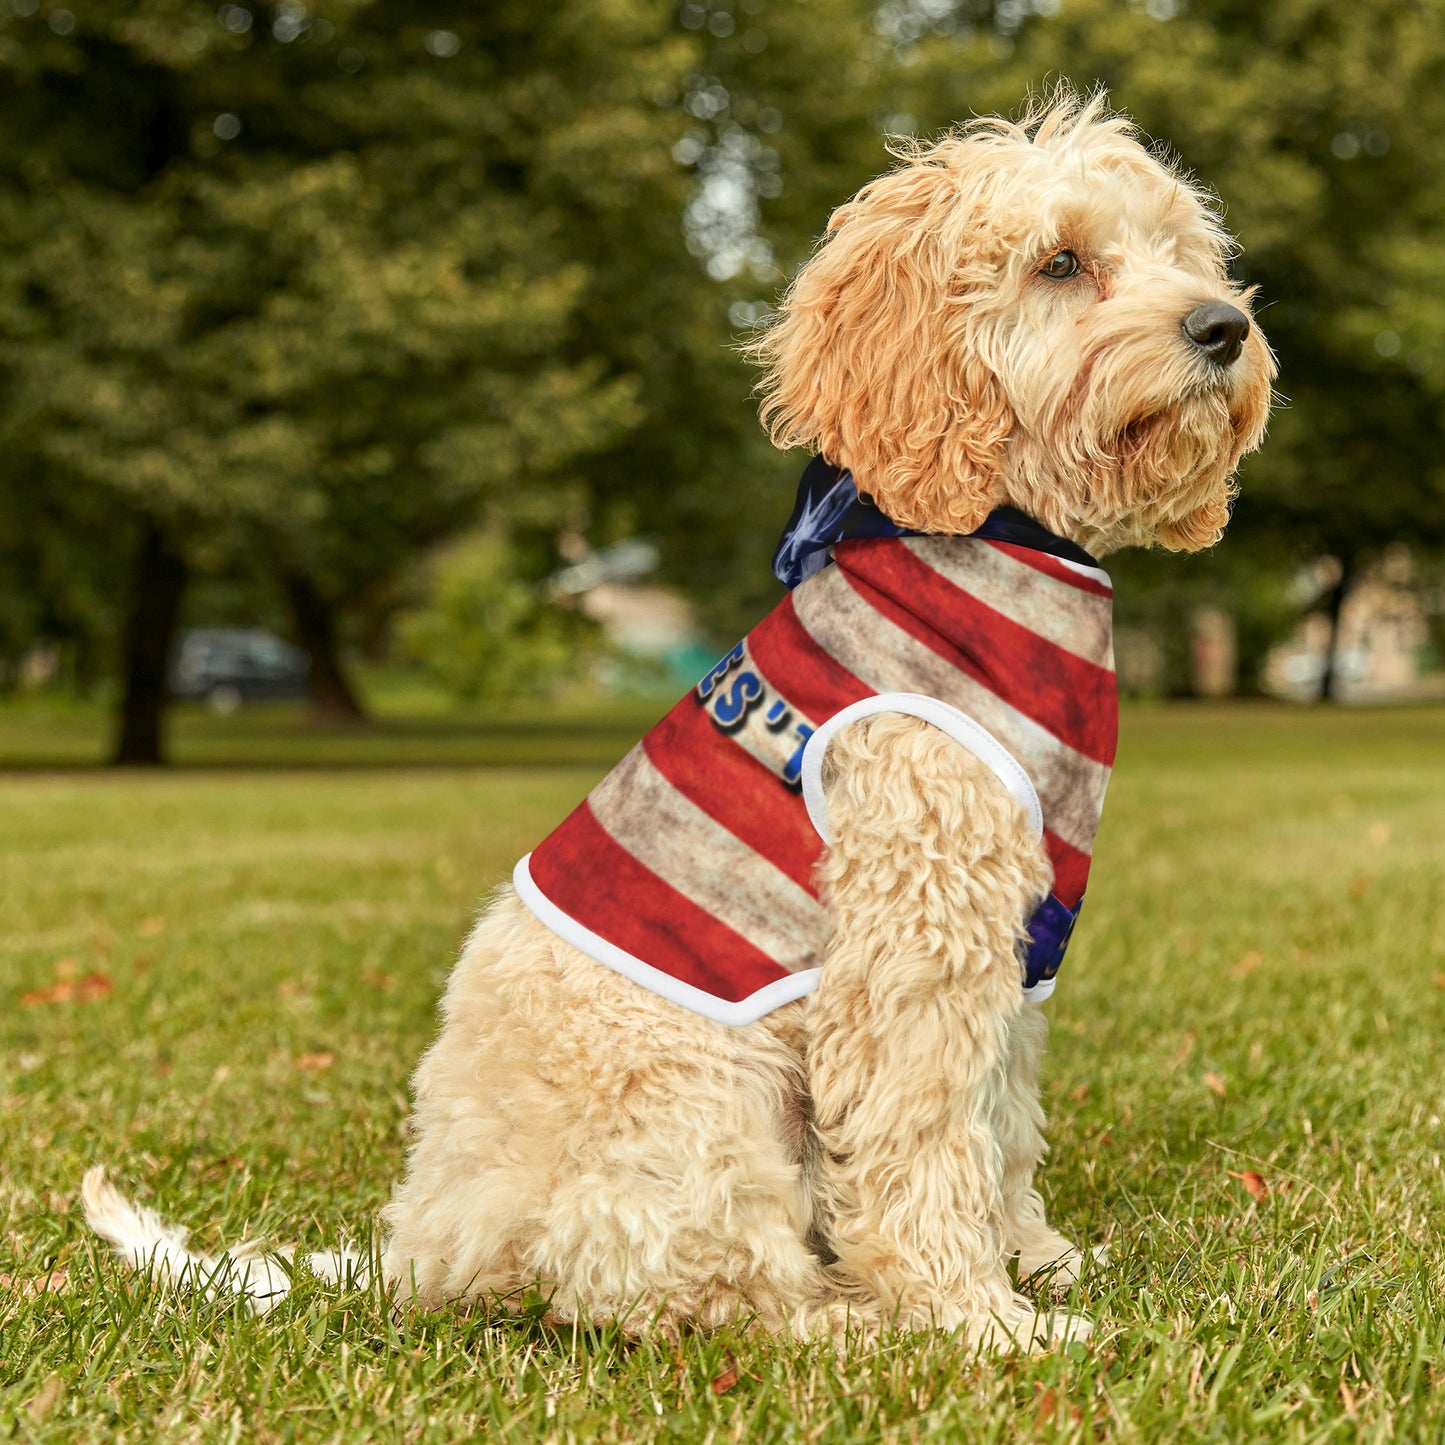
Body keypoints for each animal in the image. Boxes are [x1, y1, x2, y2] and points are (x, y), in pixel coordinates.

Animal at [84, 93, 1271, 1352]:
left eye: (1180, 252)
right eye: (1059, 262)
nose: (1222, 327)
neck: (1003, 537)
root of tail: (424, 1245)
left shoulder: (1015, 938)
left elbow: (998, 1122)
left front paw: (1034, 1260)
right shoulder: (913, 940)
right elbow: (924, 1141)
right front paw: (977, 1318)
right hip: (706, 1102)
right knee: (698, 1290)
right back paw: (851, 1322)